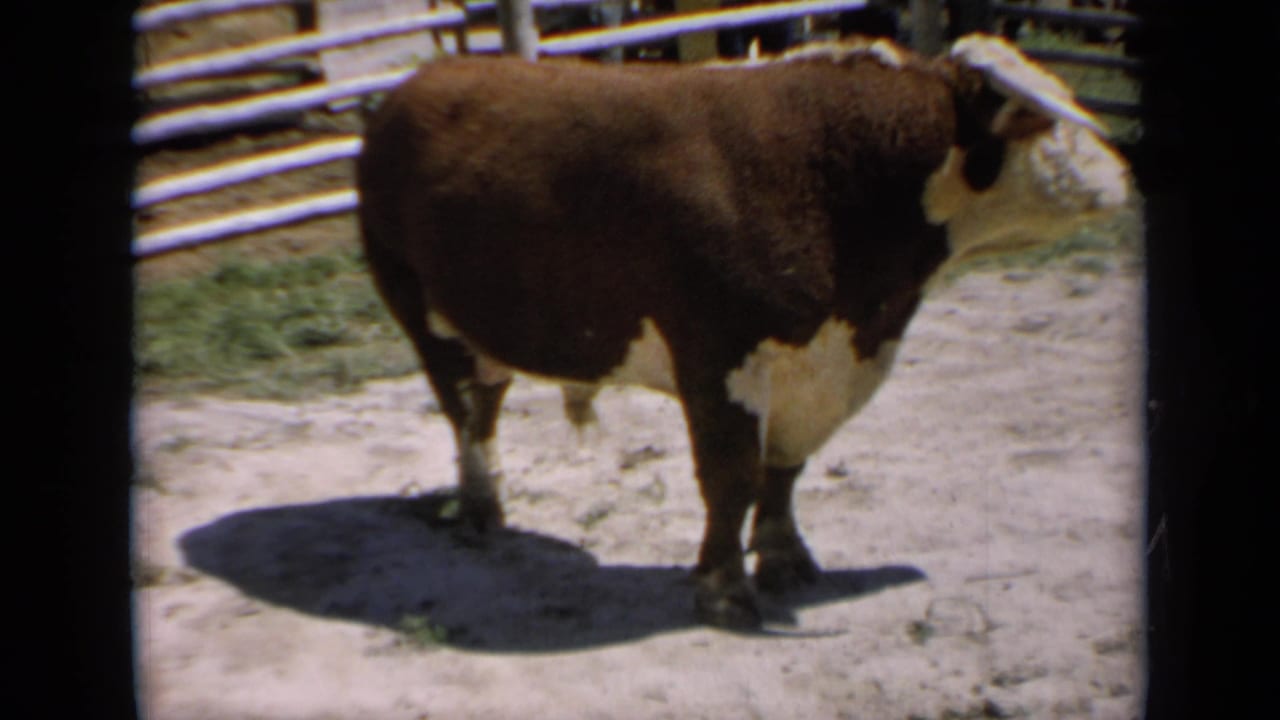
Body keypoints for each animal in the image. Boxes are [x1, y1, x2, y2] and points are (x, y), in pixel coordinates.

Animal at [355, 34, 1131, 628]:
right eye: (1036, 120)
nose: (1125, 172)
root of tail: (418, 82)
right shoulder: (719, 358)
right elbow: (731, 479)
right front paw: (725, 589)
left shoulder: (818, 368)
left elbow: (782, 472)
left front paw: (786, 558)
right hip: (419, 309)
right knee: (464, 412)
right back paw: (479, 506)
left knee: (484, 403)